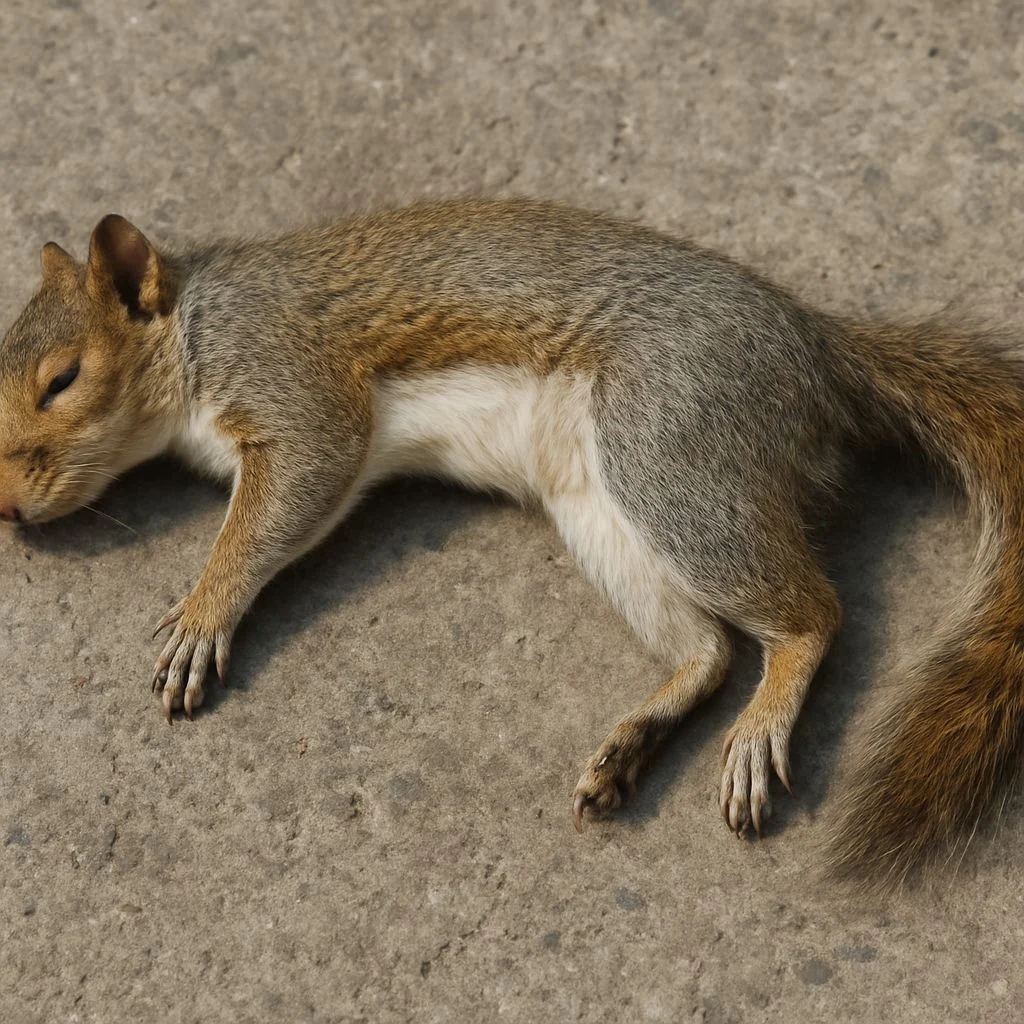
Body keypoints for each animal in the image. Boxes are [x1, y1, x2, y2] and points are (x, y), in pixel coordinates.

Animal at [2, 196, 1022, 888]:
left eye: (63, 379)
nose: (7, 509)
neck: (196, 327)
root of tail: (817, 349)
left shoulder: (294, 382)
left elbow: (283, 500)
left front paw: (202, 612)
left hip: (667, 448)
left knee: (812, 616)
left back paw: (760, 730)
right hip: (600, 509)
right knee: (706, 651)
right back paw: (632, 743)